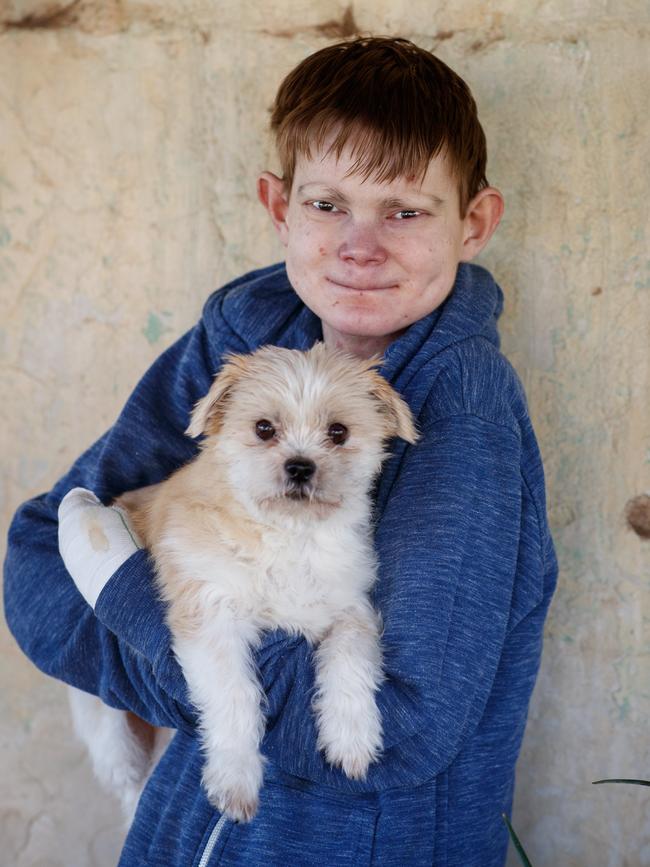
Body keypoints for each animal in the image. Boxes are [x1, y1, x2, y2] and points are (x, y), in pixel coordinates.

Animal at [71, 342, 416, 824]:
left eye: (339, 432)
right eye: (264, 429)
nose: (300, 467)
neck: (287, 534)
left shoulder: (352, 609)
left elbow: (350, 660)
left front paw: (351, 736)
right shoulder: (209, 618)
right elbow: (235, 697)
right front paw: (235, 776)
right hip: (111, 736)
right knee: (127, 784)